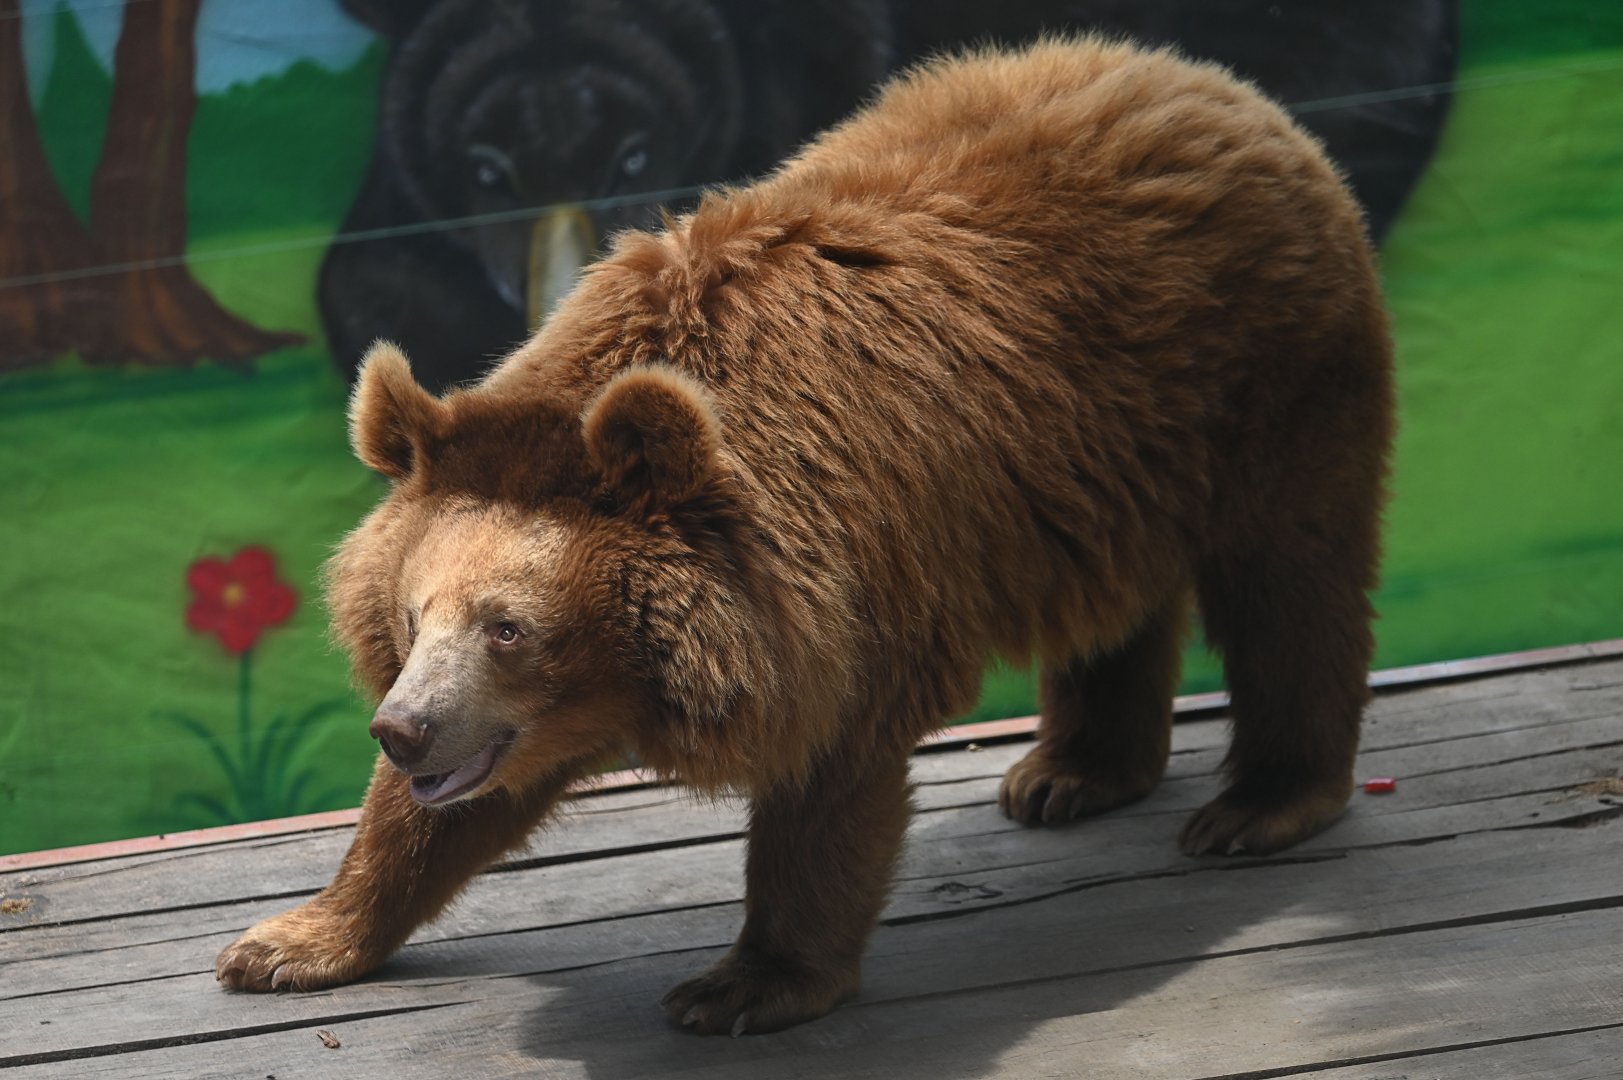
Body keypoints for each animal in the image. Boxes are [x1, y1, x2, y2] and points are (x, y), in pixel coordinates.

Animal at [217, 37, 1395, 1036]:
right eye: (412, 618)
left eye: (507, 627)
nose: (401, 730)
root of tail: (1207, 80)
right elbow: (439, 818)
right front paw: (287, 941)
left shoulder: (847, 586)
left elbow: (827, 784)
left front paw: (744, 984)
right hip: (1108, 461)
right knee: (1120, 592)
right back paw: (1072, 772)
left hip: (1264, 382)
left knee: (1292, 580)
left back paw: (1260, 802)